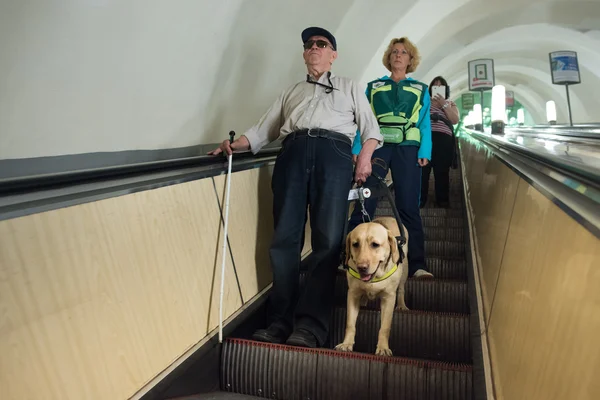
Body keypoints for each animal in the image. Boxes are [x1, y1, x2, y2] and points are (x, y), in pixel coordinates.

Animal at [336, 217, 410, 354]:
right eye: (355, 244)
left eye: (375, 244)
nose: (362, 268)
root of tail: (390, 217)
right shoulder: (353, 295)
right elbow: (350, 324)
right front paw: (347, 343)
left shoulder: (388, 298)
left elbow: (385, 327)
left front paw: (383, 348)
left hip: (405, 269)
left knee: (401, 289)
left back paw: (402, 305)